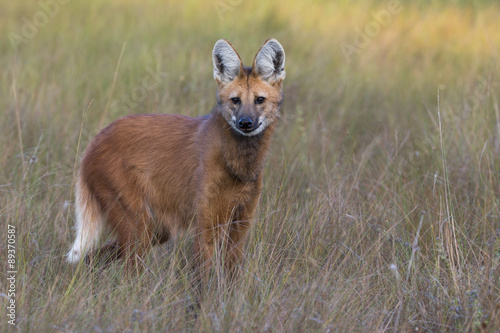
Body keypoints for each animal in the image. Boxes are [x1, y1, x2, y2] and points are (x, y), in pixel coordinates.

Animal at [67, 37, 286, 276]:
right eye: (235, 100)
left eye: (259, 100)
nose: (245, 123)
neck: (238, 165)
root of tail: (93, 142)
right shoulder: (206, 220)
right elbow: (205, 275)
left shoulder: (241, 221)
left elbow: (231, 274)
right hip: (138, 222)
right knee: (127, 268)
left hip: (157, 228)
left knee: (95, 255)